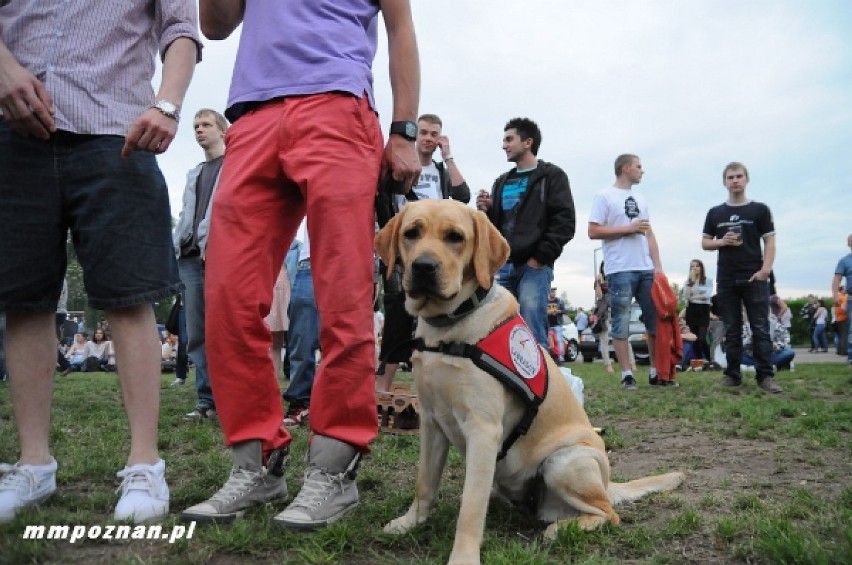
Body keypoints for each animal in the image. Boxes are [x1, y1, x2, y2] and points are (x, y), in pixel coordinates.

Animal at [376, 200, 684, 560]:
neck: (448, 328)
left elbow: (470, 509)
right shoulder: (431, 423)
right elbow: (425, 482)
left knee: (608, 512)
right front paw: (410, 522)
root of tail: (607, 484)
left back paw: (561, 529)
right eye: (412, 233)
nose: (424, 267)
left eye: (455, 237)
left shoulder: (483, 429)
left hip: (564, 461)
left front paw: (463, 557)